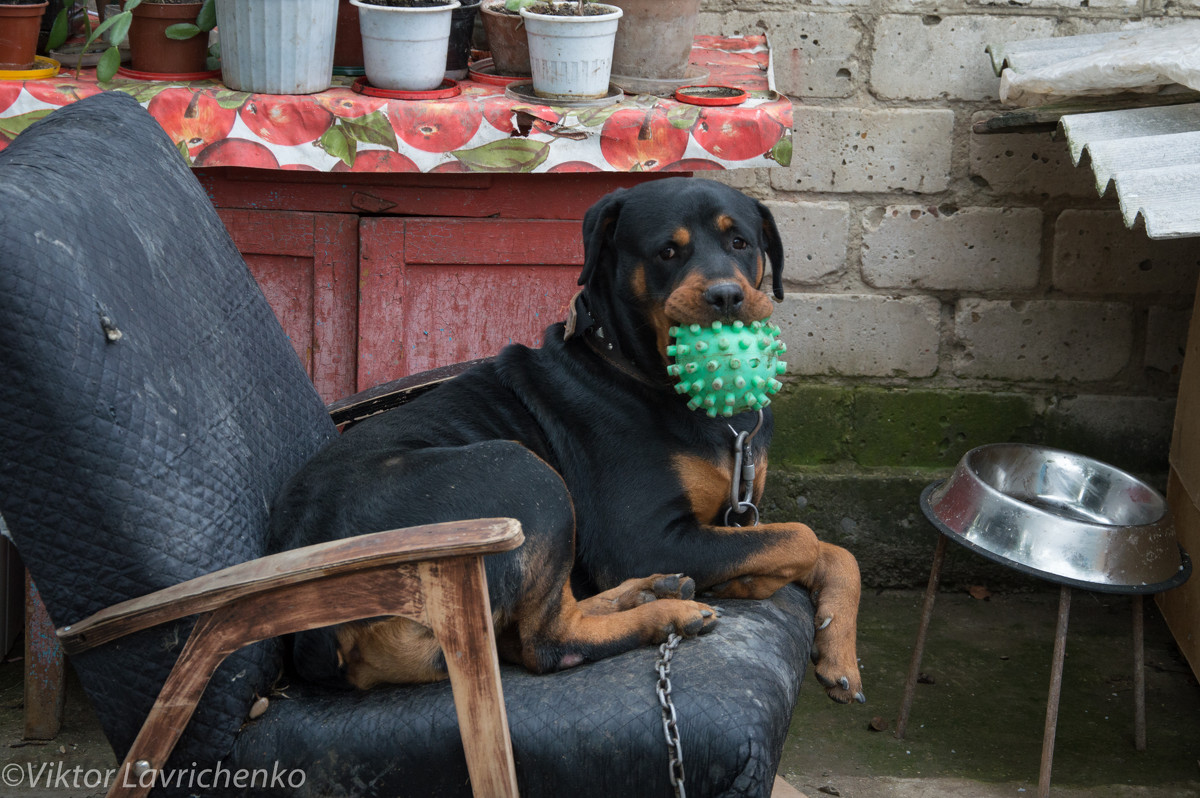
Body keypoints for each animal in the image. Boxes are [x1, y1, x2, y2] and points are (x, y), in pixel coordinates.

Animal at [270, 177, 864, 700]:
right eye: (667, 252)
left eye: (740, 241)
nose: (725, 296)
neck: (639, 369)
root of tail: (313, 627)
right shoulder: (643, 538)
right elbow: (801, 537)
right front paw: (750, 582)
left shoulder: (736, 516)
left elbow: (834, 552)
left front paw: (840, 656)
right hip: (523, 475)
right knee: (545, 642)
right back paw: (665, 610)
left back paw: (652, 590)